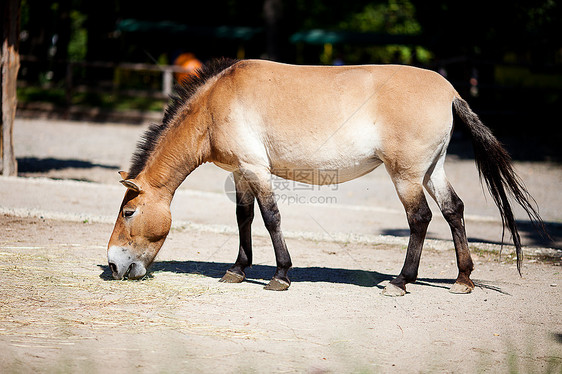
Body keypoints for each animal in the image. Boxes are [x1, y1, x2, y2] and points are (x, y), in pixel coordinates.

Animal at [105, 58, 540, 296]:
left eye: (128, 213)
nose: (113, 266)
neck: (216, 104)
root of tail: (450, 91)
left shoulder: (256, 170)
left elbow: (271, 218)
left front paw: (280, 275)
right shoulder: (241, 174)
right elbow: (244, 219)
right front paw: (238, 270)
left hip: (407, 176)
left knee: (421, 219)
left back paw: (401, 281)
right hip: (433, 170)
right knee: (454, 211)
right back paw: (463, 279)